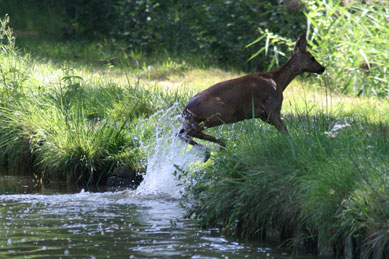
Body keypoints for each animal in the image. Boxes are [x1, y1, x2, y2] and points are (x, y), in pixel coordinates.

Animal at [178, 35, 324, 151]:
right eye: (312, 58)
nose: (322, 68)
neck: (278, 82)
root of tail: (186, 109)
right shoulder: (272, 107)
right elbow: (285, 131)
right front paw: (296, 145)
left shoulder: (263, 116)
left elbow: (284, 130)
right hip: (222, 112)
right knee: (191, 131)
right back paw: (220, 144)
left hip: (197, 119)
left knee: (181, 132)